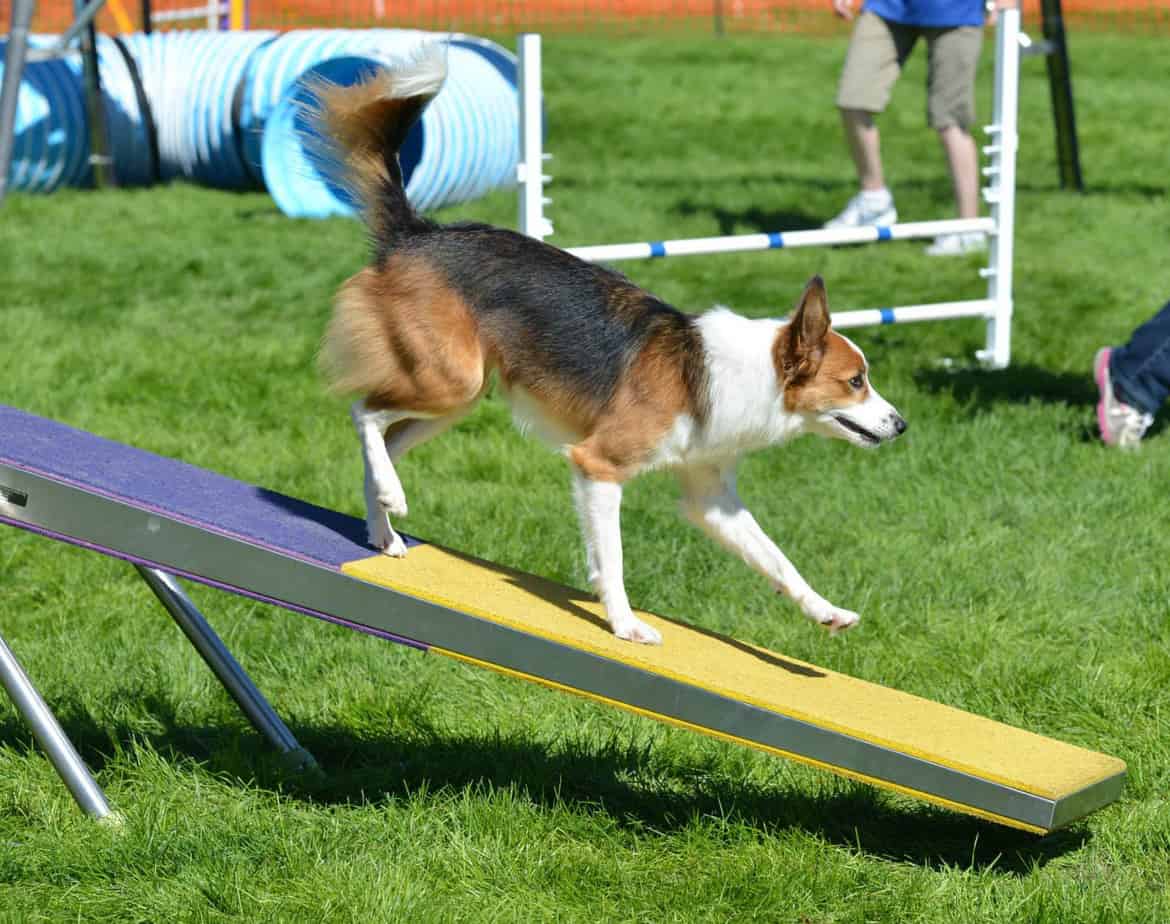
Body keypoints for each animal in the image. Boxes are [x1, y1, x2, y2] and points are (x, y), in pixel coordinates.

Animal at [308, 47, 903, 645]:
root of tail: (418, 232)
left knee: (384, 438)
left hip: (455, 398)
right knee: (364, 412)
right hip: (451, 381)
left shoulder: (712, 499)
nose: (901, 425)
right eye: (856, 381)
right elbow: (611, 559)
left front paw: (826, 611)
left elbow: (778, 559)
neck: (727, 373)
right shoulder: (599, 466)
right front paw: (624, 624)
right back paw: (393, 497)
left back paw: (383, 530)